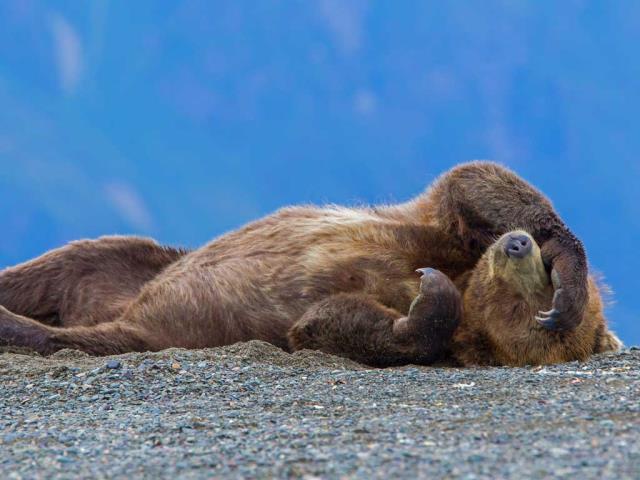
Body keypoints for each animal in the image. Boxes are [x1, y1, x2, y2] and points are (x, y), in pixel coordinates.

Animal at [0, 161, 621, 366]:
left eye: (524, 300)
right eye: (537, 285)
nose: (517, 248)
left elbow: (326, 323)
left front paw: (429, 302)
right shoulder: (435, 231)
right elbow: (473, 182)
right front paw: (568, 273)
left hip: (145, 325)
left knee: (78, 334)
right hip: (136, 265)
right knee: (63, 262)